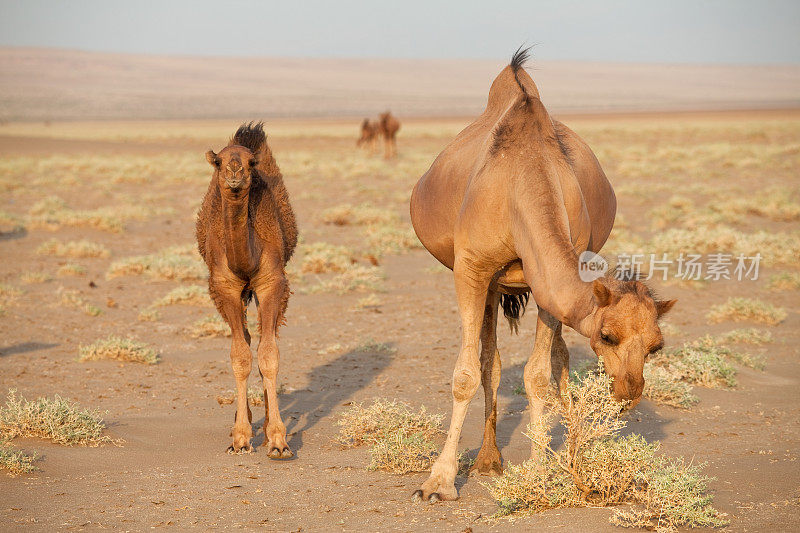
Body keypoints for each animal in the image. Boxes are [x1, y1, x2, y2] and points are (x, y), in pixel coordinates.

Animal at [195, 121, 298, 458]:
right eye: (219, 162)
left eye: (251, 163)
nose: (235, 172)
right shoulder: (225, 287)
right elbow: (240, 356)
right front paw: (240, 437)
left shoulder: (271, 283)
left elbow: (269, 355)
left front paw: (277, 439)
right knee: (247, 338)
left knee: (266, 338)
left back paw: (264, 428)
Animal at [406, 47, 676, 500]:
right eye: (608, 336)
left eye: (656, 346)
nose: (629, 392)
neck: (522, 181)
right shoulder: (472, 269)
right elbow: (465, 374)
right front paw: (438, 482)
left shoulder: (547, 276)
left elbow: (537, 375)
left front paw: (539, 471)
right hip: (491, 286)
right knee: (490, 362)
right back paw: (488, 459)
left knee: (555, 358)